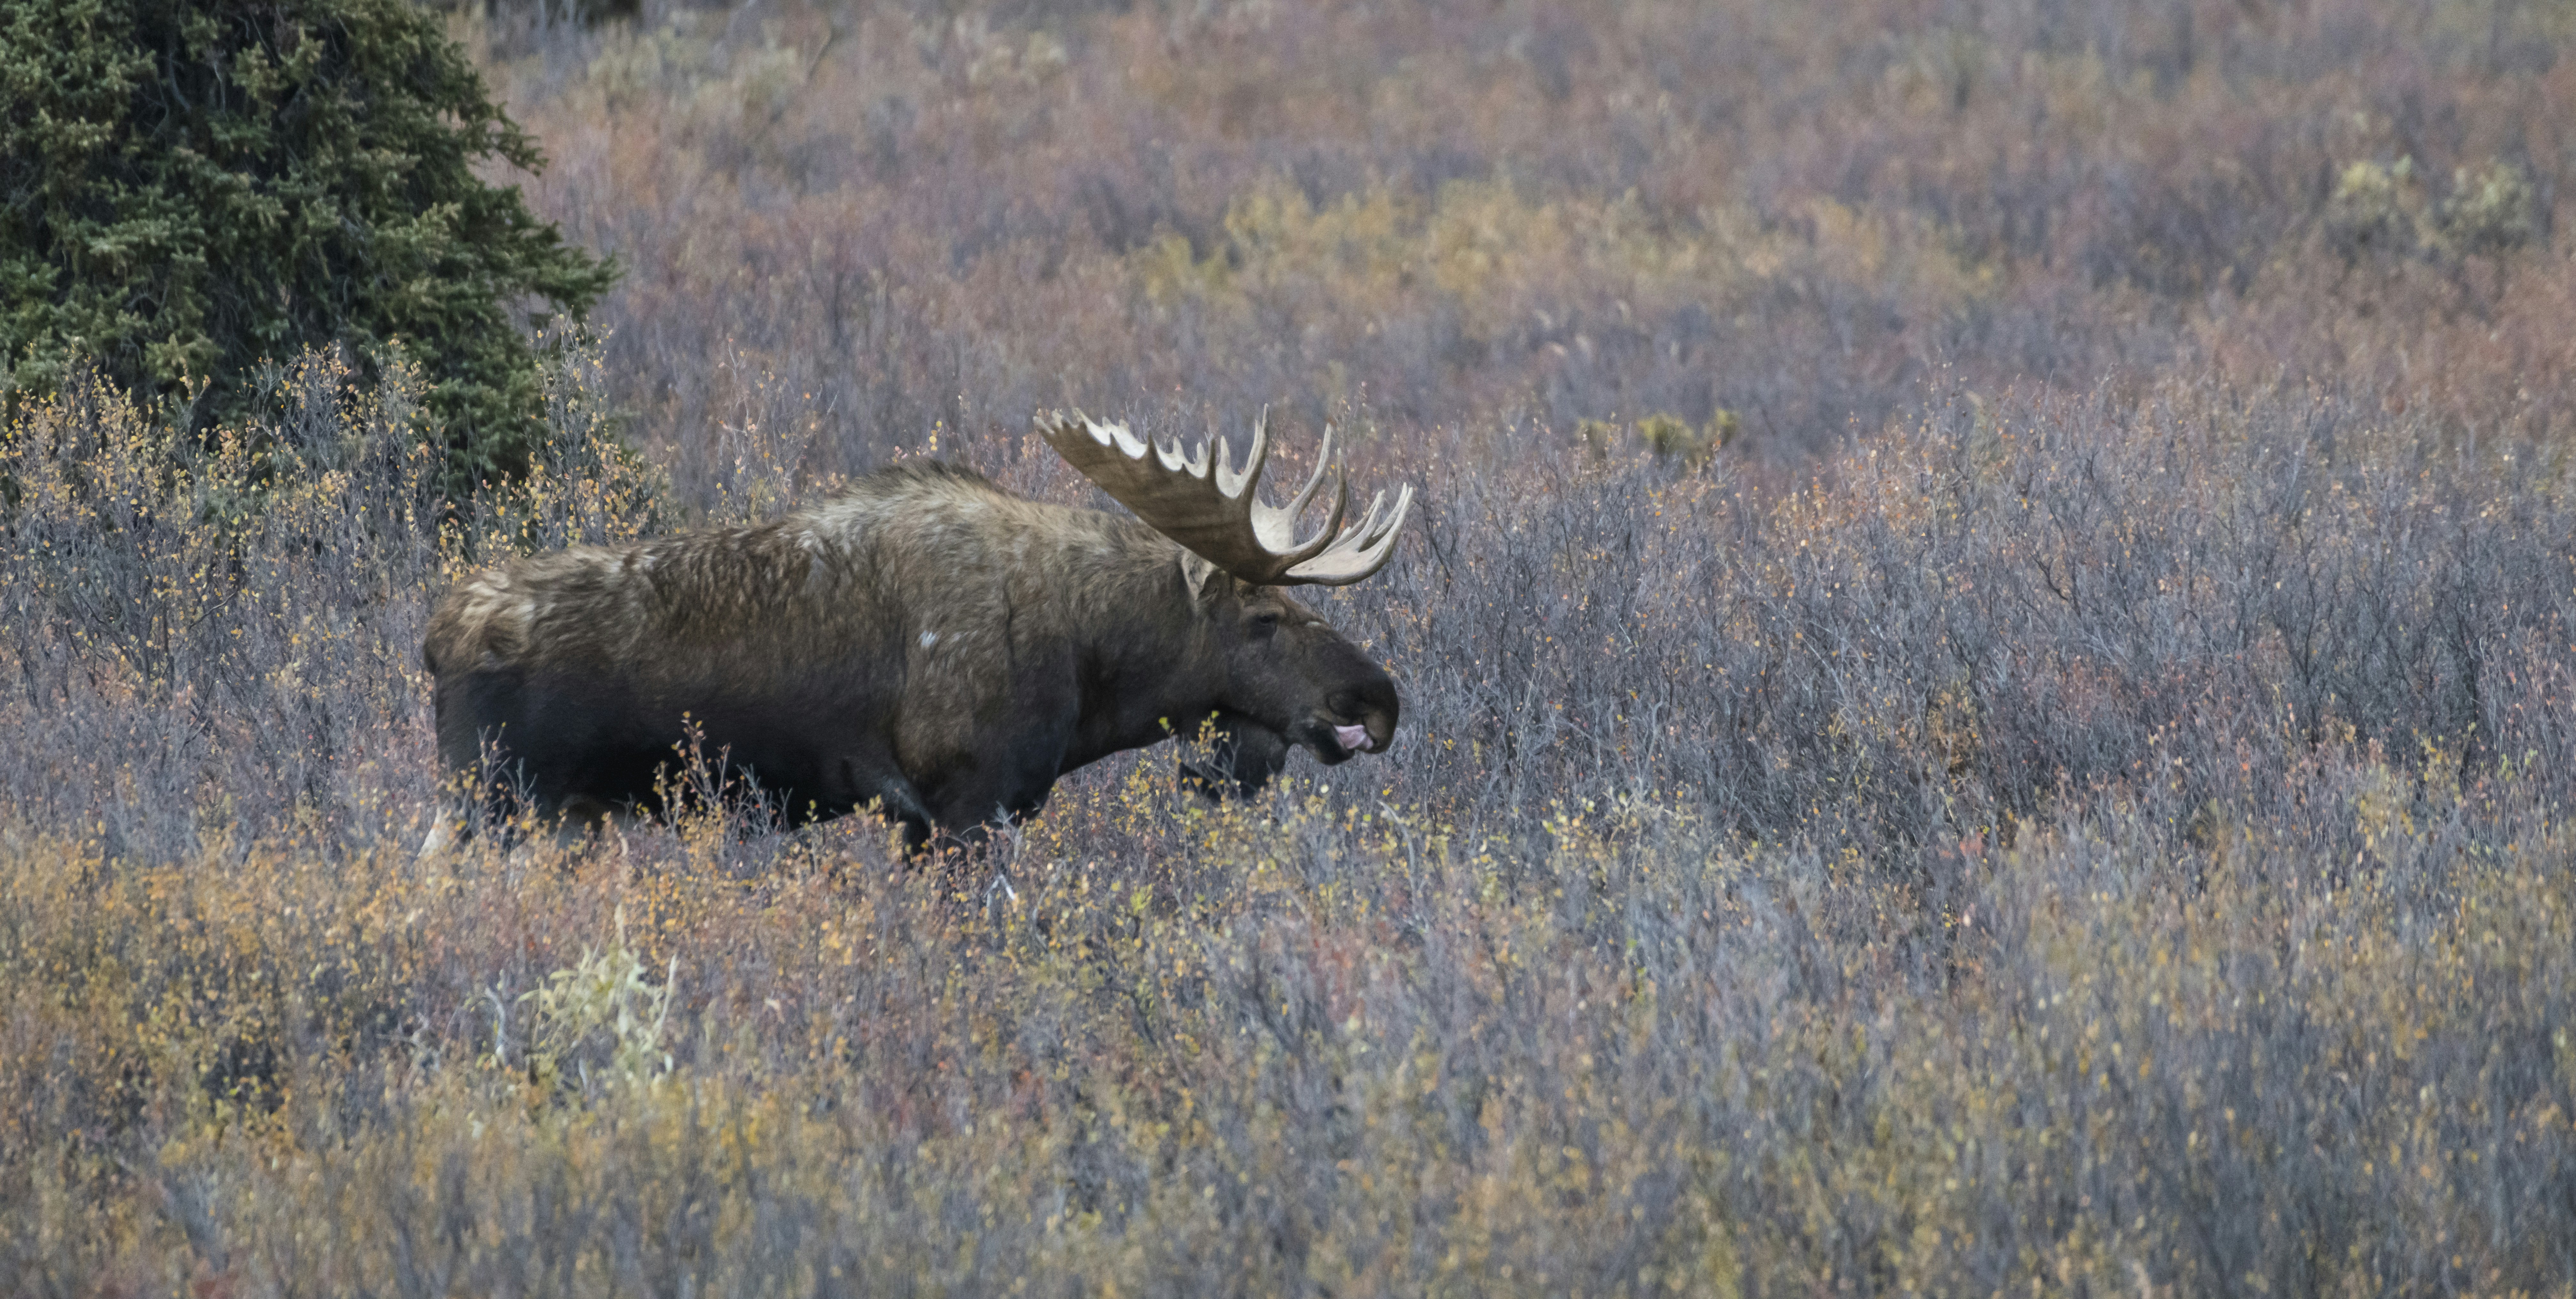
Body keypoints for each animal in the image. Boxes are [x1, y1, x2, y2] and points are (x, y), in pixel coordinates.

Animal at [420, 411, 1413, 852]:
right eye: (1265, 618)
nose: (1378, 698)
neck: (1093, 667)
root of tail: (436, 638)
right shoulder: (963, 806)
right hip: (497, 803)